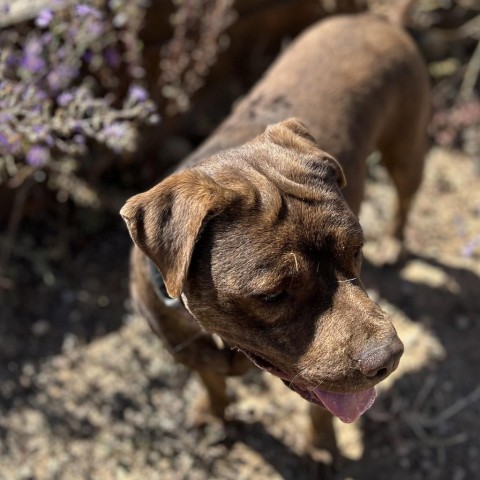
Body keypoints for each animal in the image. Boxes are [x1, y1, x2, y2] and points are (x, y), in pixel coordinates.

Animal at [120, 10, 432, 458]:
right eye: (272, 295)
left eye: (356, 251)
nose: (388, 358)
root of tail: (374, 17)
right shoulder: (188, 350)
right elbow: (212, 382)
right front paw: (214, 415)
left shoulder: (325, 377)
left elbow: (322, 406)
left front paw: (321, 449)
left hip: (406, 148)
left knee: (405, 196)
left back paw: (395, 241)